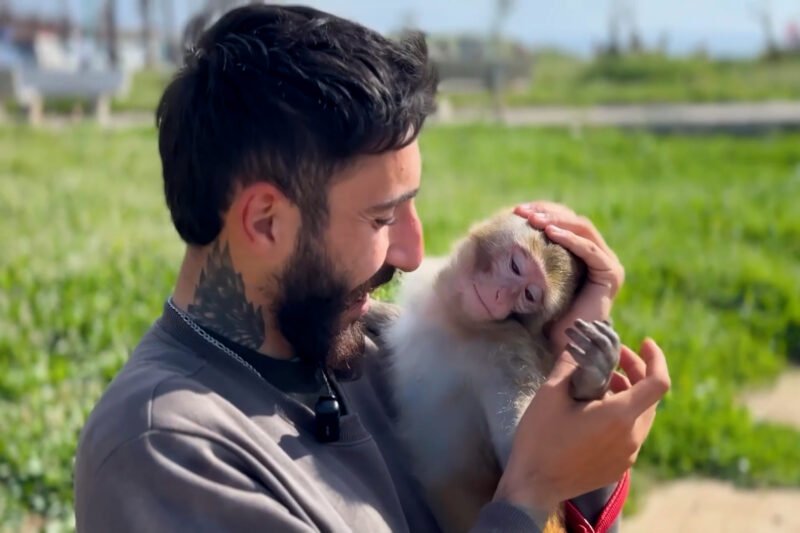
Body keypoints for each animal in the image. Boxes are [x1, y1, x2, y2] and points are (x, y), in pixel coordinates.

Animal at [365, 210, 621, 533]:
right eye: (515, 266)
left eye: (529, 295)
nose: (500, 295)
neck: (459, 323)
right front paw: (373, 312)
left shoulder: (508, 358)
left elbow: (520, 452)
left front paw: (589, 382)